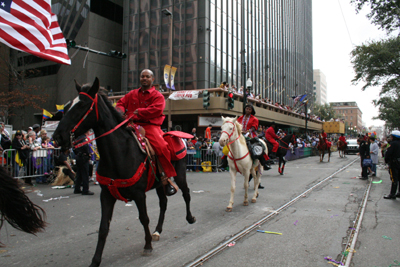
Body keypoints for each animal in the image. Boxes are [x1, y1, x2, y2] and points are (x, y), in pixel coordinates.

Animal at [52, 78, 196, 266]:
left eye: (82, 105)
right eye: (68, 106)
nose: (58, 137)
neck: (119, 153)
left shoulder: (139, 194)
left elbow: (144, 218)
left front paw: (147, 246)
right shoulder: (106, 195)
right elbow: (103, 227)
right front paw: (95, 260)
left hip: (180, 174)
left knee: (186, 193)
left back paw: (190, 218)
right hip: (159, 184)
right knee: (163, 203)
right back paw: (157, 231)